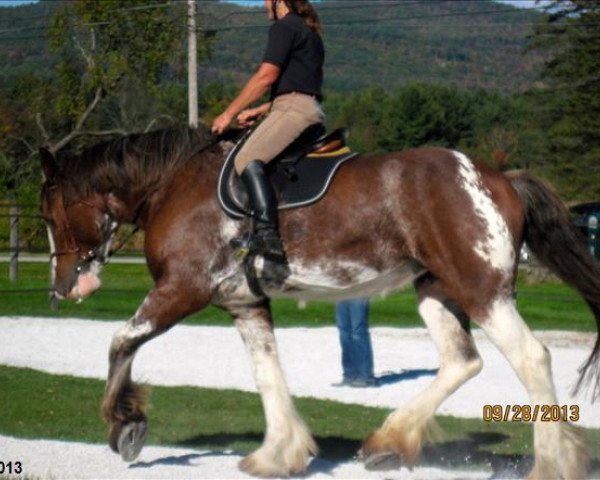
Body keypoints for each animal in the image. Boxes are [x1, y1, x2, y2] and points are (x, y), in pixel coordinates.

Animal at [39, 125, 596, 478]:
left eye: (48, 214)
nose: (61, 287)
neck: (173, 185)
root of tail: (500, 178)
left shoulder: (180, 290)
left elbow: (121, 342)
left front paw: (126, 425)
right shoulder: (244, 304)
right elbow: (268, 376)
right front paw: (277, 455)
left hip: (481, 289)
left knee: (530, 357)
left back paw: (552, 465)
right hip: (435, 287)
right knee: (462, 360)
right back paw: (387, 442)